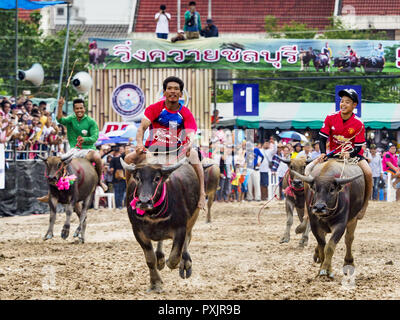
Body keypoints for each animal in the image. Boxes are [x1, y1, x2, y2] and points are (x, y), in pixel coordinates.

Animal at [119, 157, 199, 292]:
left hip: (194, 215)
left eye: (157, 178)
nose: (144, 202)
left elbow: (174, 258)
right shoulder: (138, 231)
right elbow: (150, 260)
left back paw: (185, 263)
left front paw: (174, 263)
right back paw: (160, 258)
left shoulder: (181, 228)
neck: (153, 214)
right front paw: (155, 283)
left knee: (188, 238)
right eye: (138, 178)